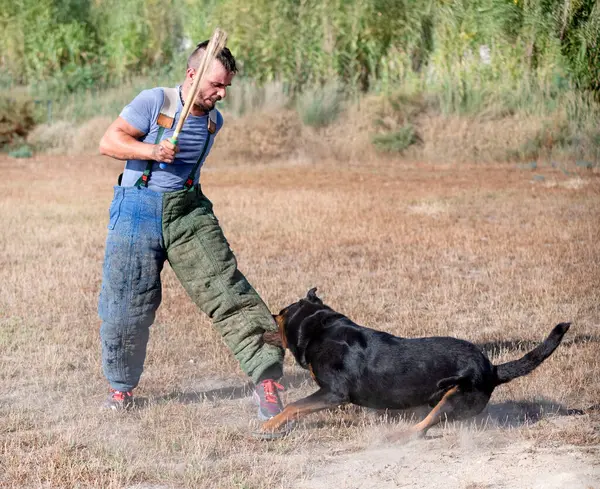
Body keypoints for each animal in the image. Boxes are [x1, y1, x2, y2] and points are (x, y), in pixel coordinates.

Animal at [262, 288, 572, 436]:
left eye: (280, 313)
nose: (269, 314)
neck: (320, 328)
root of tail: (492, 369)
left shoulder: (333, 392)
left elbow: (293, 406)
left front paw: (269, 425)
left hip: (454, 397)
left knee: (423, 427)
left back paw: (397, 436)